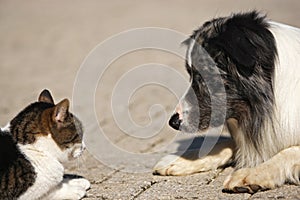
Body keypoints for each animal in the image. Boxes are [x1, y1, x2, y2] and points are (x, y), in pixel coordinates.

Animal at [154, 11, 300, 194]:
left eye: (204, 76)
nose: (173, 122)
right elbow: (228, 143)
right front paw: (182, 159)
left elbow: (288, 151)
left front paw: (252, 173)